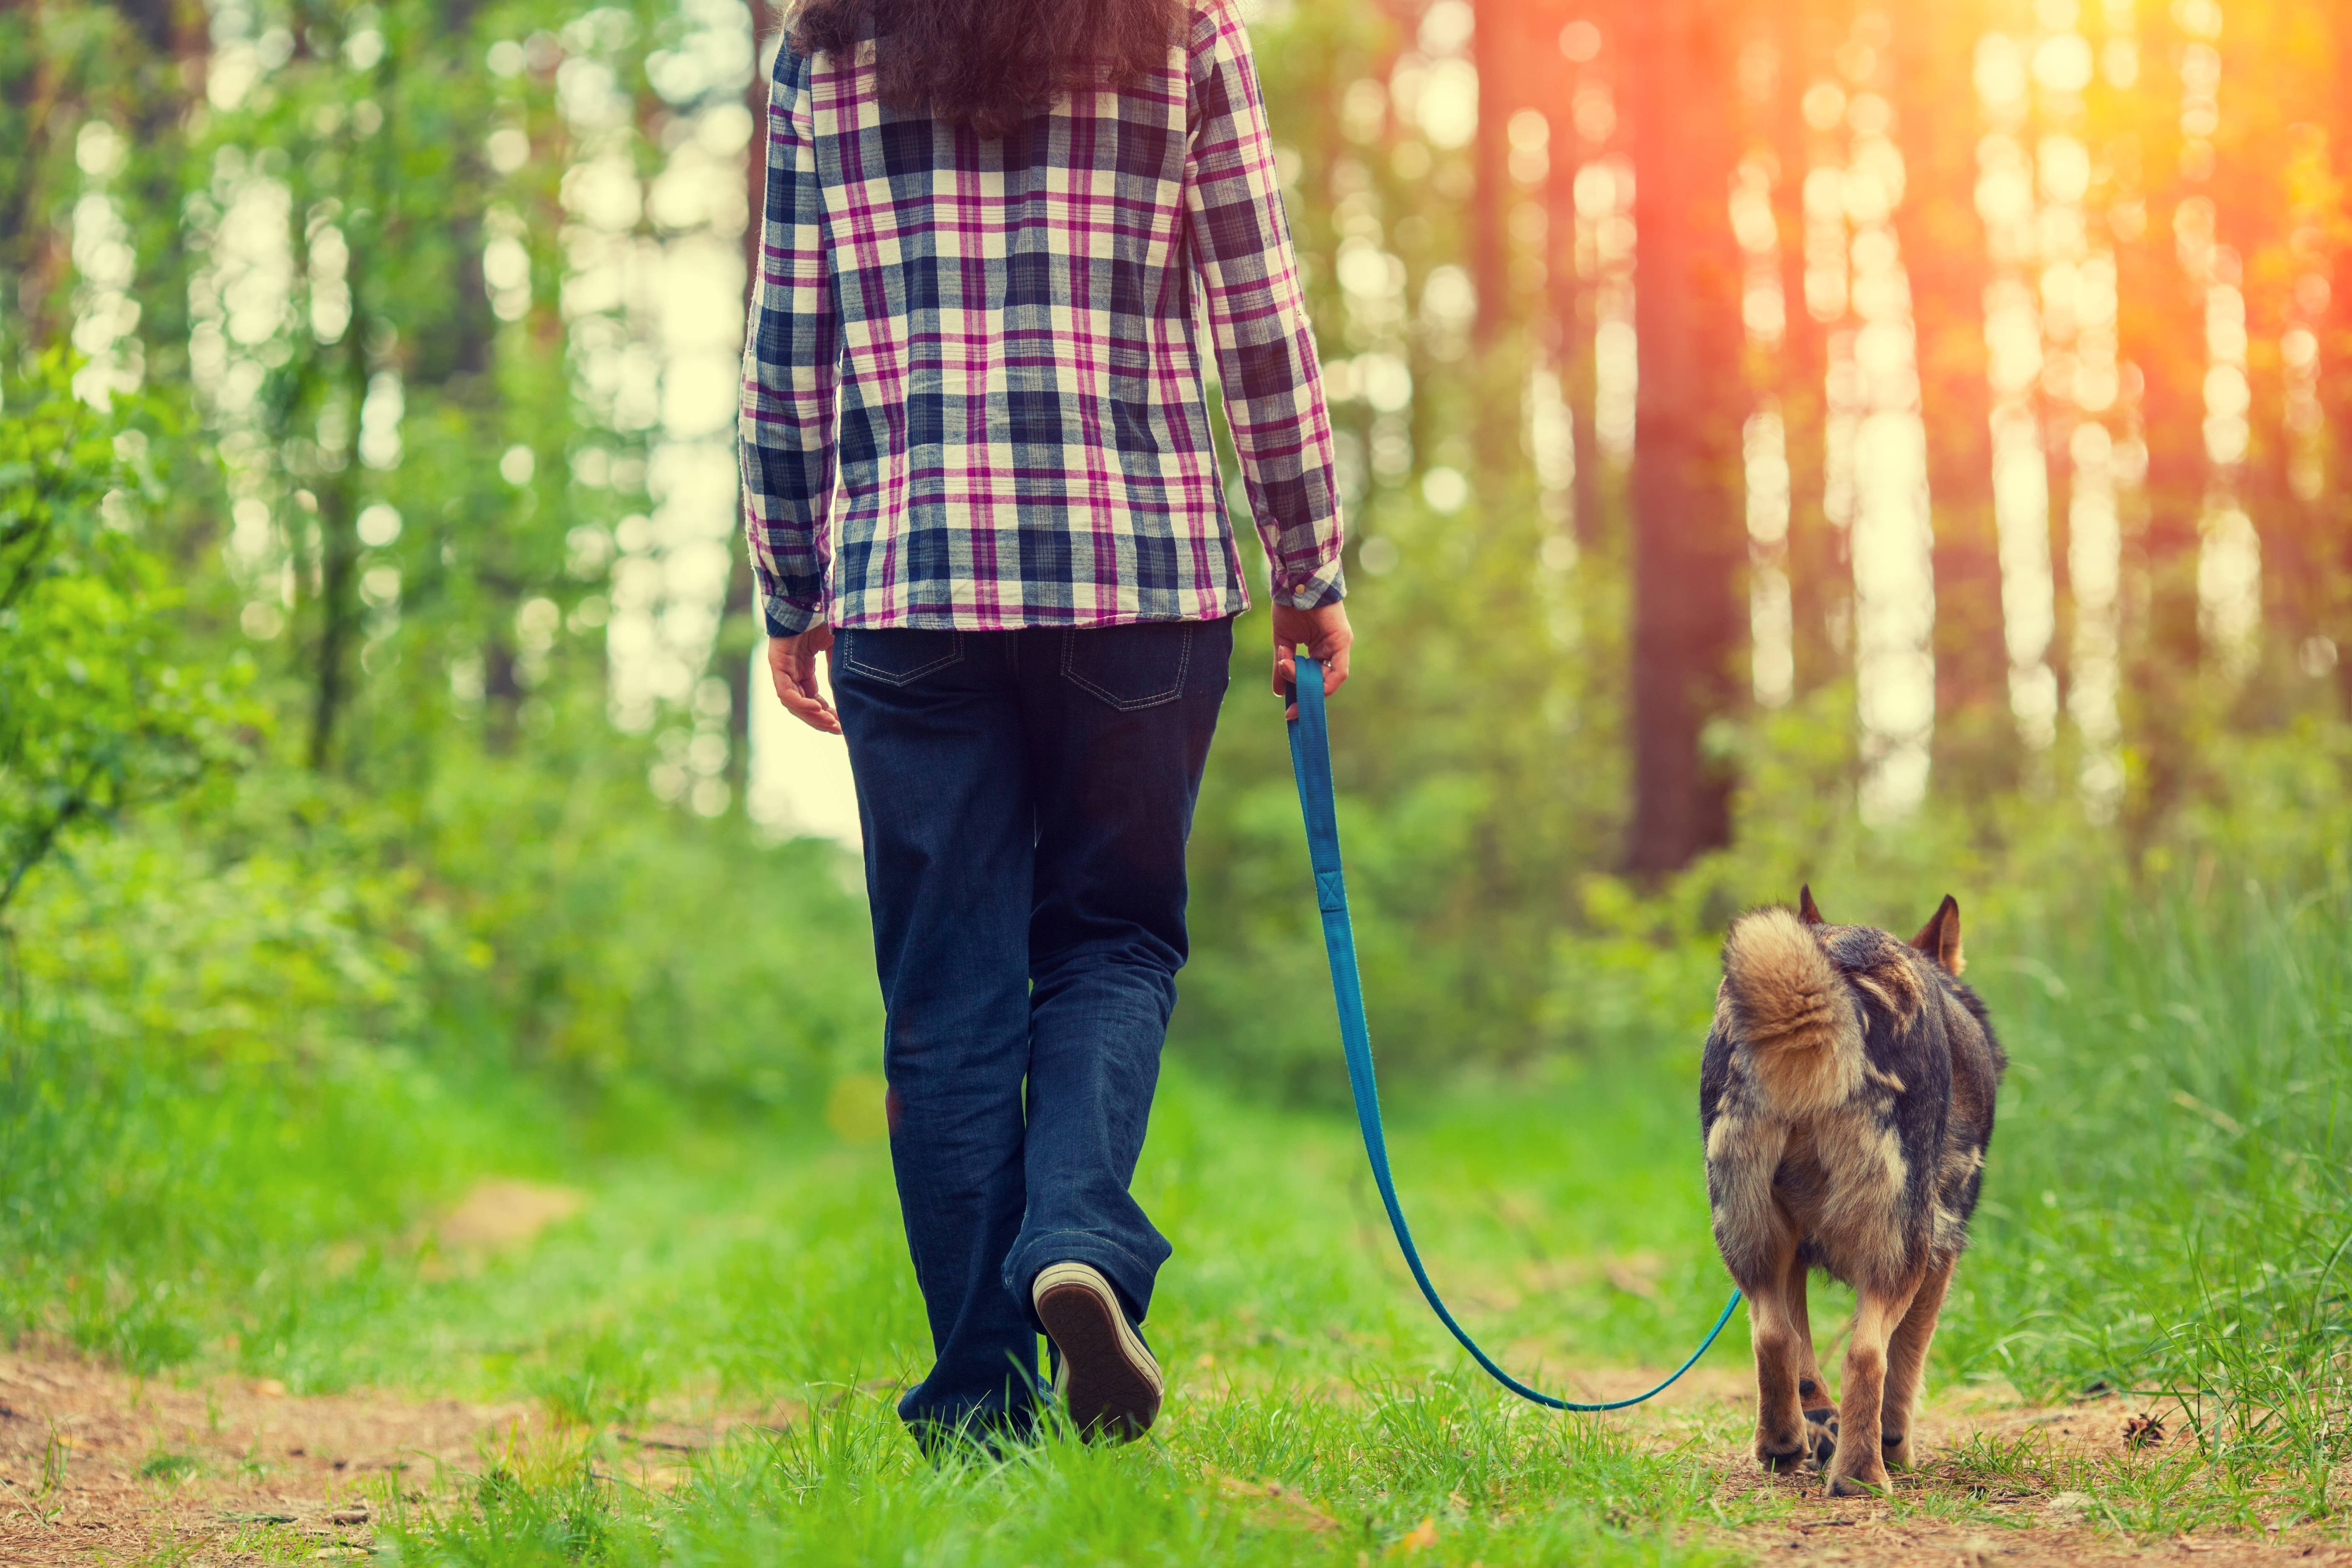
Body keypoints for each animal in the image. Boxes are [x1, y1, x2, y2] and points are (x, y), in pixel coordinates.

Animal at [1702, 884, 2013, 1495]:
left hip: (1751, 1241)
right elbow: (1906, 1362)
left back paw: (1782, 1446)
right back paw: (1862, 1475)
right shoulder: (1939, 1256)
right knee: (1867, 1355)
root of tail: (1839, 967)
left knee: (1772, 1338)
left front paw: (1820, 1425)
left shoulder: (1794, 1254)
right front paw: (1894, 1443)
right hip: (1899, 1252)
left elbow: (1801, 1354)